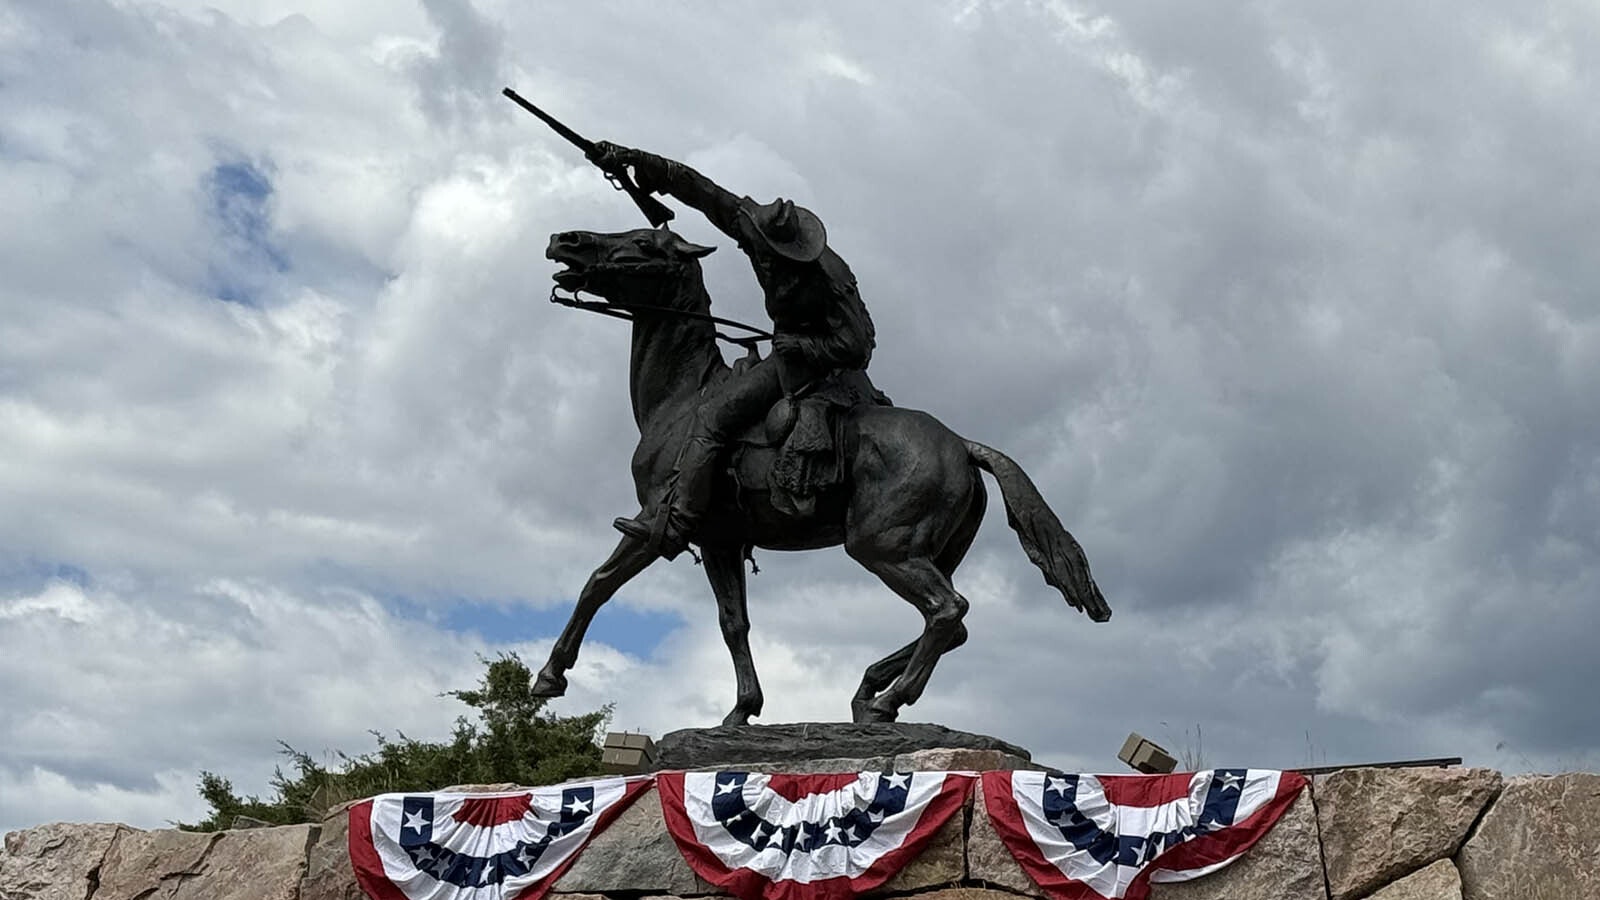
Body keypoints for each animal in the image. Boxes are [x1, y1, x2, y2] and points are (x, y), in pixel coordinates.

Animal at [531, 225, 1107, 720]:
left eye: (643, 243)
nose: (566, 240)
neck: (684, 398)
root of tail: (962, 445)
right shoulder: (719, 541)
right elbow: (733, 623)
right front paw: (743, 710)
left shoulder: (656, 521)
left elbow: (598, 583)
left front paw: (550, 676)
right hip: (928, 553)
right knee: (954, 624)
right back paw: (869, 688)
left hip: (882, 547)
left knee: (947, 611)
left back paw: (886, 702)